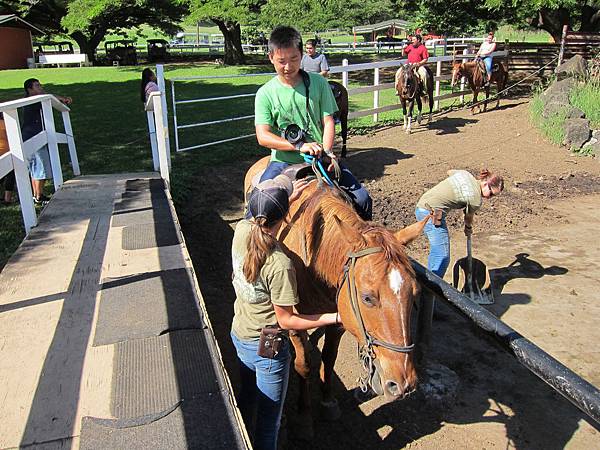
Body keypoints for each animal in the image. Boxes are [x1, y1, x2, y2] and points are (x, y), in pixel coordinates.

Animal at [241, 157, 428, 436]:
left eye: (414, 294)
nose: (403, 382)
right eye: (367, 298)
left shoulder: (339, 319)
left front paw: (328, 401)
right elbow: (305, 364)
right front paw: (304, 415)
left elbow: (329, 358)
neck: (315, 259)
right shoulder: (294, 321)